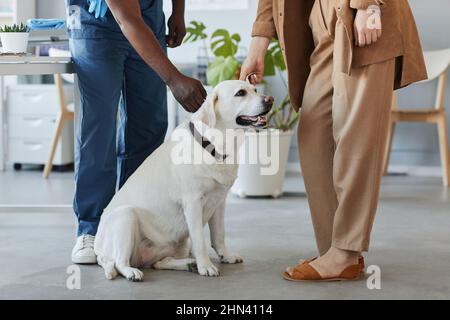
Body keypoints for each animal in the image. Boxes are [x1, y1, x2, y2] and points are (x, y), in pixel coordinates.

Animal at [93, 80, 272, 282]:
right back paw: (133, 272)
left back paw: (188, 264)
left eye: (255, 89)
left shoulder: (219, 201)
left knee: (159, 263)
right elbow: (200, 241)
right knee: (119, 262)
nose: (270, 100)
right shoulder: (193, 203)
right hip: (126, 216)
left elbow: (219, 235)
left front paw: (226, 256)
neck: (212, 145)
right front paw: (206, 266)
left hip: (176, 244)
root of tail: (98, 250)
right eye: (240, 93)